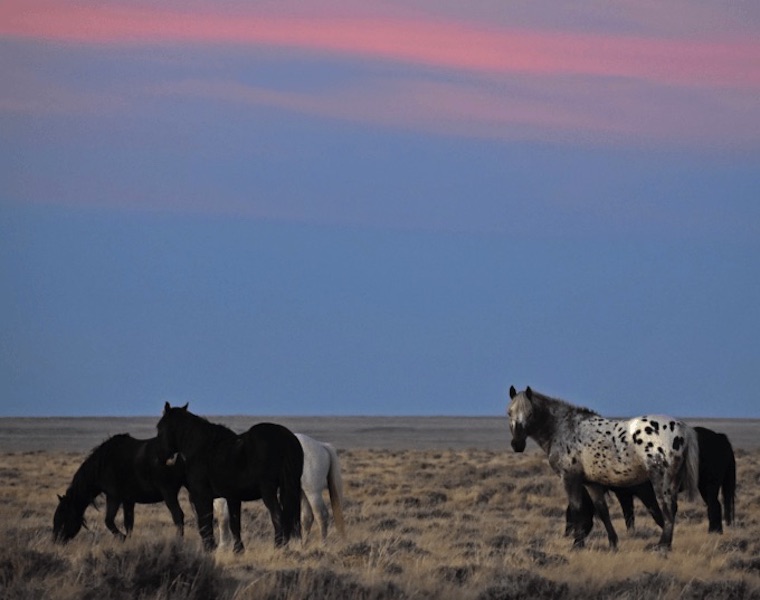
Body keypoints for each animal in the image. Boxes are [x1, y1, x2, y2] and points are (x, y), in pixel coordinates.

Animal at [53, 434, 185, 543]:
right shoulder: (128, 500)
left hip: (169, 493)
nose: (55, 541)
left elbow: (109, 521)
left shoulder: (113, 497)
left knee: (178, 516)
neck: (103, 465)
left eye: (63, 518)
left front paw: (123, 538)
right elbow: (128, 523)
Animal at [155, 402, 303, 553]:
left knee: (278, 516)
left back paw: (279, 547)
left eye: (159, 427)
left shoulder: (201, 496)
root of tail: (285, 438)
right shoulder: (233, 497)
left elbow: (205, 522)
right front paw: (238, 550)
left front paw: (210, 548)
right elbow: (234, 524)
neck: (201, 448)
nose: (159, 457)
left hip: (268, 490)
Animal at [215, 432, 345, 549]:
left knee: (321, 515)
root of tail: (321, 445)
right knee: (307, 518)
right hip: (302, 492)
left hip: (313, 492)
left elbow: (223, 518)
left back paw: (323, 544)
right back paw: (302, 545)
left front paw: (222, 547)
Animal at [507, 386, 699, 550]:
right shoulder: (592, 483)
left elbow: (577, 509)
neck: (562, 429)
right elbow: (602, 511)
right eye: (509, 412)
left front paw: (577, 544)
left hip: (661, 479)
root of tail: (682, 427)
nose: (517, 444)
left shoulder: (570, 479)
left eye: (530, 413)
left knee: (668, 509)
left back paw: (662, 547)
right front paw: (613, 543)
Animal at [568, 425, 736, 536]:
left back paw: (713, 532)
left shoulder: (646, 492)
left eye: (574, 514)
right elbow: (629, 515)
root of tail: (720, 437)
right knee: (715, 505)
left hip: (708, 485)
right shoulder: (624, 494)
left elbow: (656, 512)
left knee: (714, 506)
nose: (568, 534)